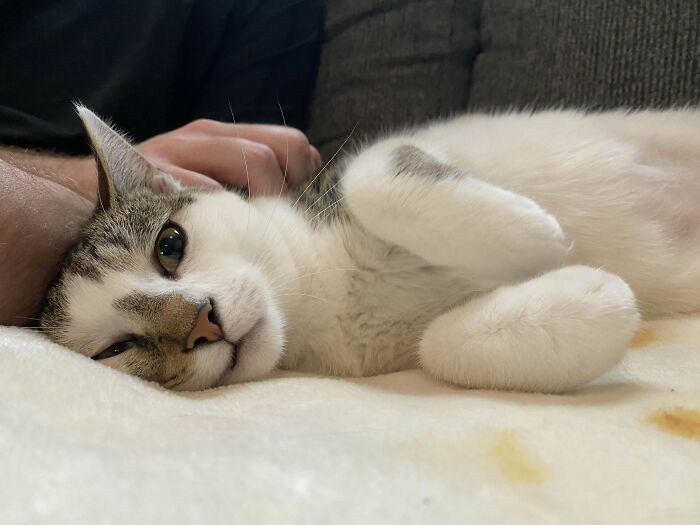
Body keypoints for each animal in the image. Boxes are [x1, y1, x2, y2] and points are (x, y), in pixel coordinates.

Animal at [39, 106, 700, 390]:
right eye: (118, 349)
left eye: (170, 245)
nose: (202, 322)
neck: (321, 299)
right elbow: (438, 348)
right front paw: (592, 294)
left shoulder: (375, 159)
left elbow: (373, 179)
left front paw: (532, 234)